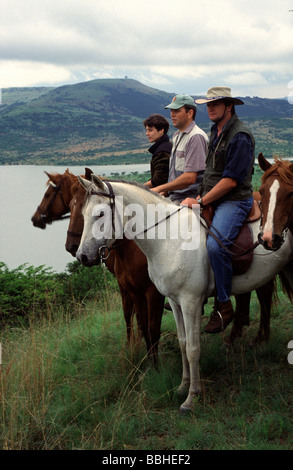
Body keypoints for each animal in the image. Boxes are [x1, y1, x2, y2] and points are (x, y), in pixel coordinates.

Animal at [76, 175, 292, 412]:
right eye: (83, 214)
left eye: (100, 214)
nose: (82, 256)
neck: (169, 239)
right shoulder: (174, 301)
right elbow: (182, 343)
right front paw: (182, 386)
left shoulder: (190, 302)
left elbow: (192, 348)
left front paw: (192, 396)